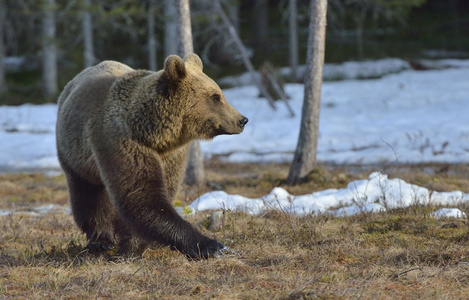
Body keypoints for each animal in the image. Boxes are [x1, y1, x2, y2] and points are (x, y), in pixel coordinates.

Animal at [55, 53, 249, 258]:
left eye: (219, 94)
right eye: (215, 97)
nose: (242, 120)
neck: (153, 134)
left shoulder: (173, 155)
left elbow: (163, 191)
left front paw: (135, 244)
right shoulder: (122, 143)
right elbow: (141, 194)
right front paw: (210, 245)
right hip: (75, 155)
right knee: (88, 196)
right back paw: (101, 240)